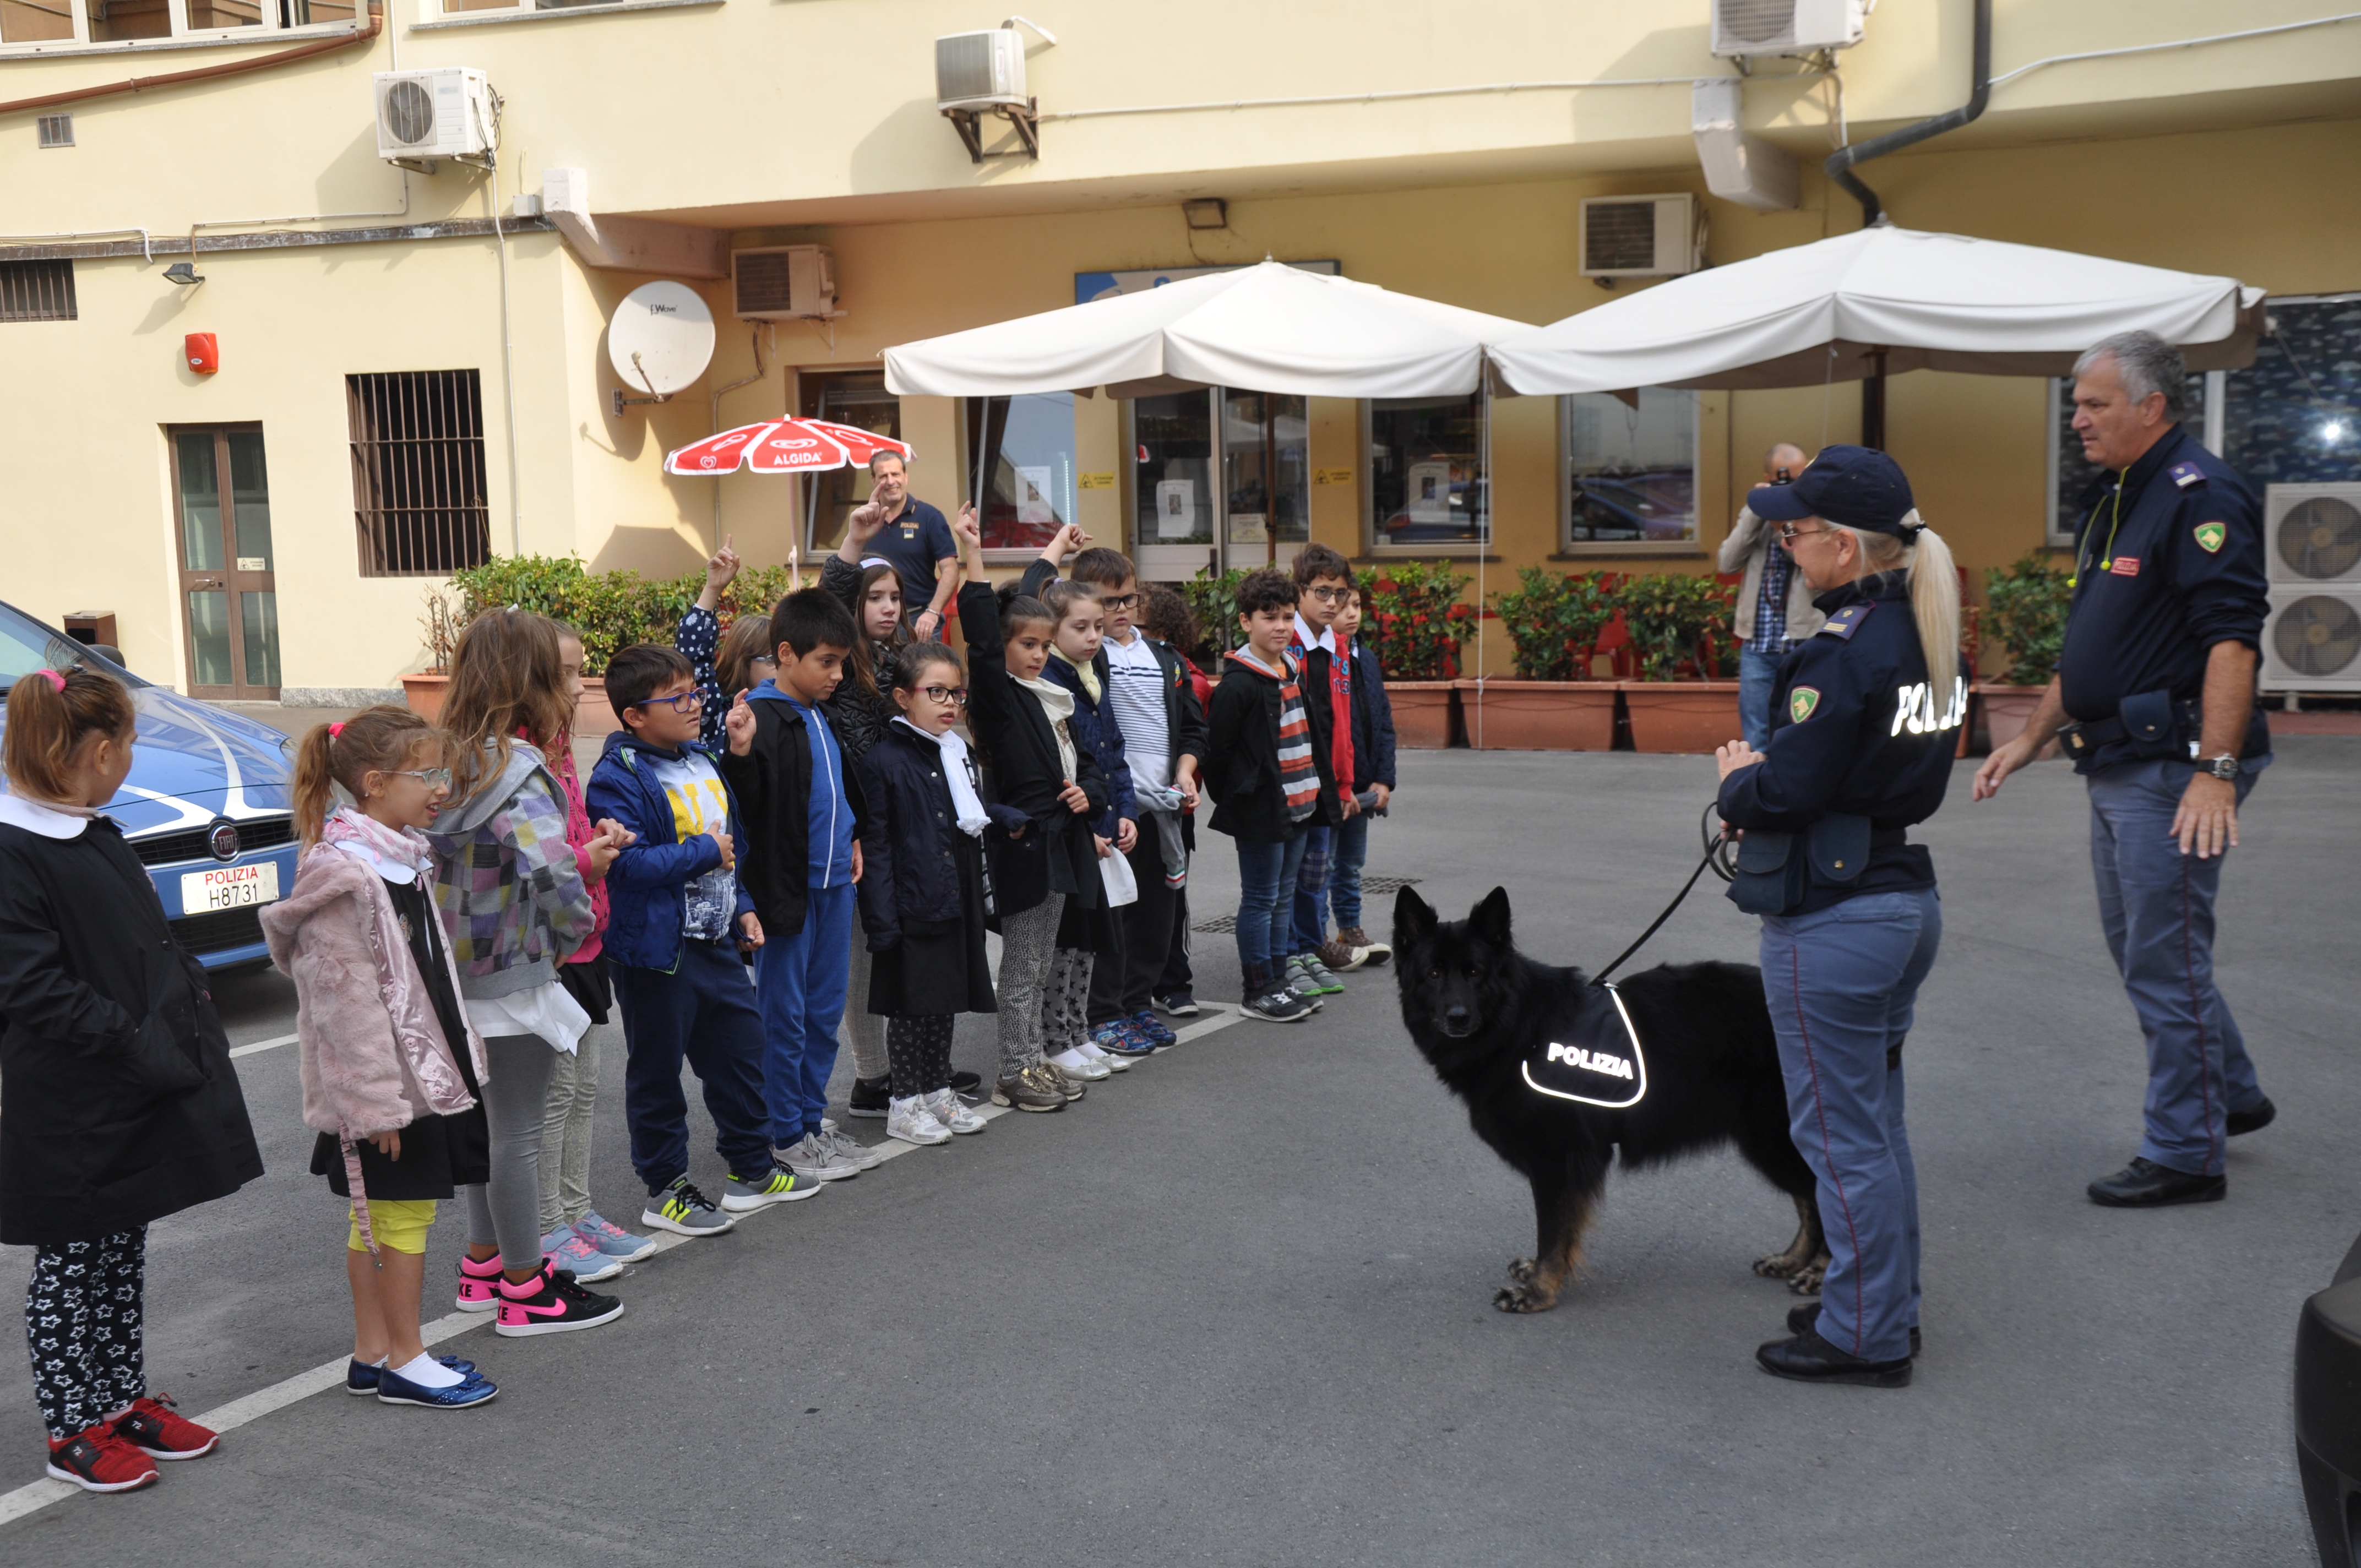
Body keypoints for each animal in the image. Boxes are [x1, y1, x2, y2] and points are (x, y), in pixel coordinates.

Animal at [1397, 883, 1823, 1313]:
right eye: (1434, 974)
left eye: (1475, 973)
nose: (1458, 1017)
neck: (1522, 1028)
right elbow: (1559, 1228)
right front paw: (1537, 1274)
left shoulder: (1557, 1160)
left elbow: (1553, 1231)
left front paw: (1538, 1291)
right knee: (1810, 1201)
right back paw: (1793, 1260)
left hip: (1773, 1140)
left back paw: (1818, 1274)